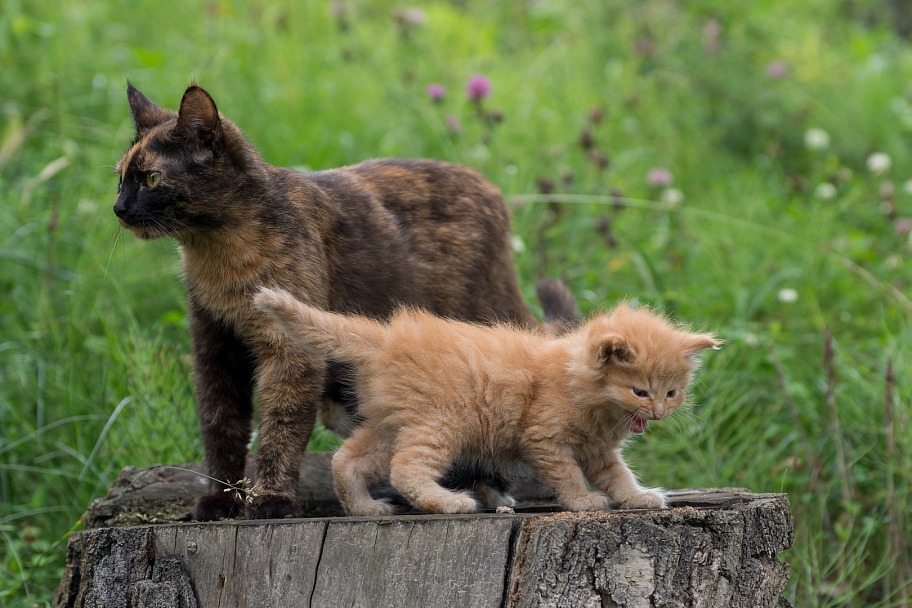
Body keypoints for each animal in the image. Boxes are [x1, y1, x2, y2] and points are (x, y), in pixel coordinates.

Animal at [112, 84, 540, 524]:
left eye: (151, 178)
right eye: (120, 179)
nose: (119, 208)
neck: (218, 257)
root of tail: (489, 189)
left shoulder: (290, 354)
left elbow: (281, 429)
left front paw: (272, 500)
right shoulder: (216, 350)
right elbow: (221, 428)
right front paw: (222, 499)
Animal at [251, 288, 720, 516]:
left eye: (672, 393)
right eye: (640, 391)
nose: (658, 412)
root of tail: (385, 338)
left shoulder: (599, 451)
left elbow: (619, 476)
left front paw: (638, 497)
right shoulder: (544, 440)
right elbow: (568, 475)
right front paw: (584, 502)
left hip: (391, 424)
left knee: (346, 460)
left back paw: (365, 508)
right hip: (441, 423)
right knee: (405, 469)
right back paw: (449, 502)